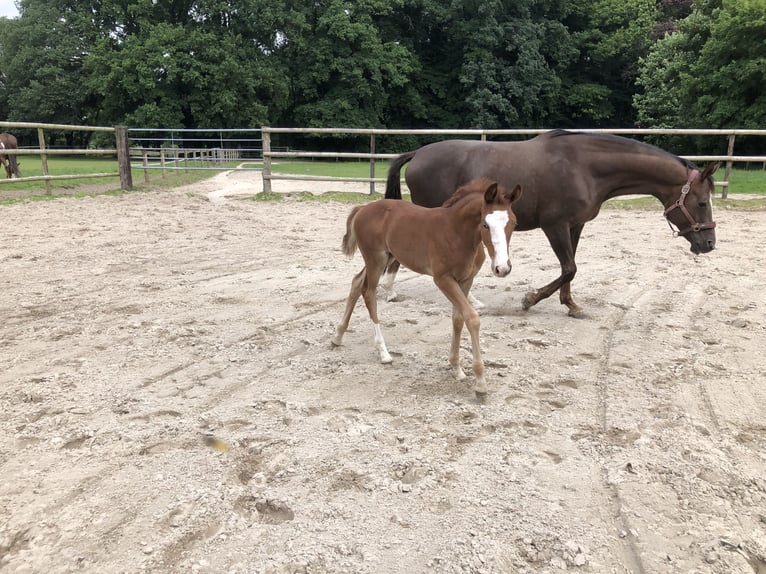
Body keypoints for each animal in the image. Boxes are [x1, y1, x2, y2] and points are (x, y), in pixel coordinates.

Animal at [388, 130, 724, 318]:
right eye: (702, 202)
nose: (709, 244)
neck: (584, 167)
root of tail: (418, 153)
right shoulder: (555, 225)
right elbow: (569, 268)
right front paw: (530, 299)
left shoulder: (575, 226)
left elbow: (570, 267)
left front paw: (571, 305)